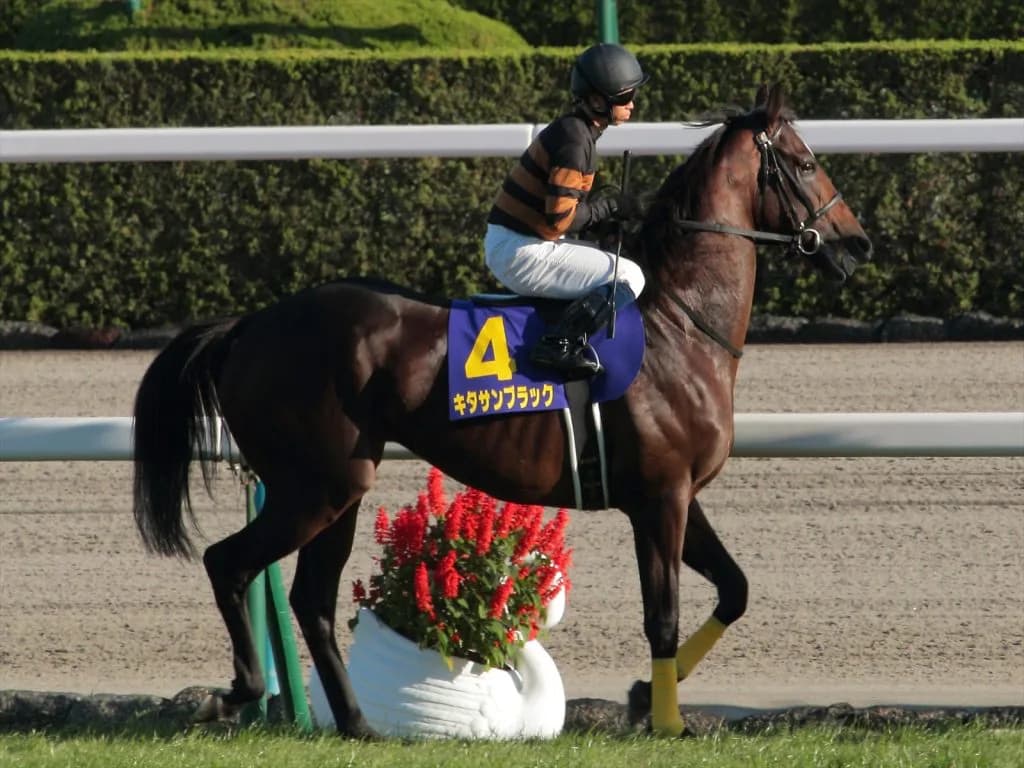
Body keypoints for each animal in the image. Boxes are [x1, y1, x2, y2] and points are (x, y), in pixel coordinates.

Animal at [132, 84, 872, 738]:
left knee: (311, 600)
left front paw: (641, 696)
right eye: (806, 162)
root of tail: (247, 326)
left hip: (338, 486)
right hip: (314, 485)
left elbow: (735, 589)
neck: (682, 324)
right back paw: (237, 694)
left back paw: (359, 725)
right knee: (230, 564)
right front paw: (667, 724)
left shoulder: (678, 495)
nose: (858, 241)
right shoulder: (660, 499)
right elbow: (661, 616)